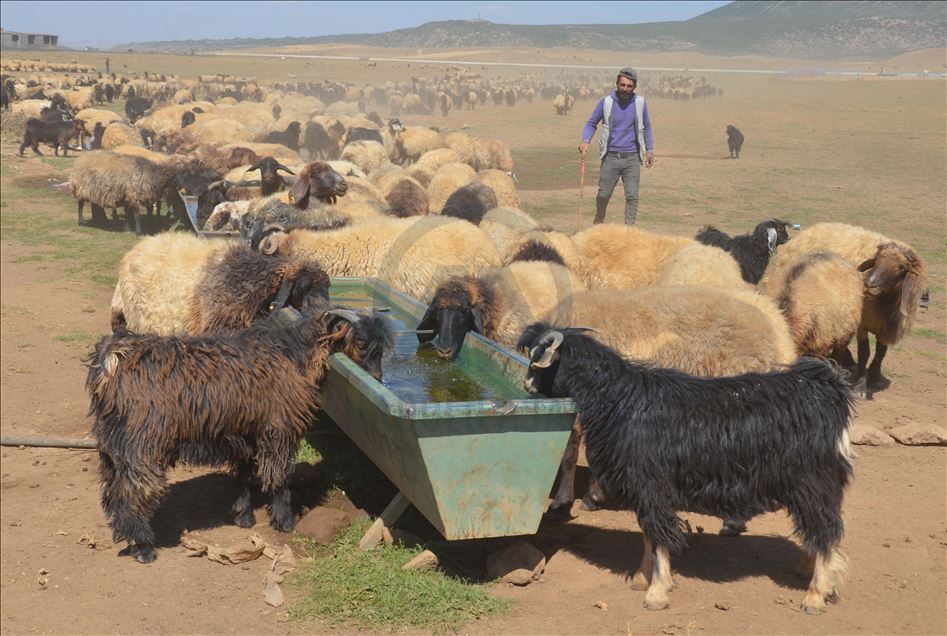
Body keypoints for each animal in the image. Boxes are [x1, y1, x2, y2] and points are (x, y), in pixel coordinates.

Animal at [524, 326, 856, 612]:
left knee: (825, 532)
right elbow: (648, 534)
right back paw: (806, 569)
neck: (622, 403)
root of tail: (827, 390)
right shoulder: (644, 491)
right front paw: (642, 577)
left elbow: (659, 535)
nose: (527, 385)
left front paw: (656, 592)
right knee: (818, 530)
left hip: (812, 482)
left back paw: (815, 595)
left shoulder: (652, 486)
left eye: (540, 360)